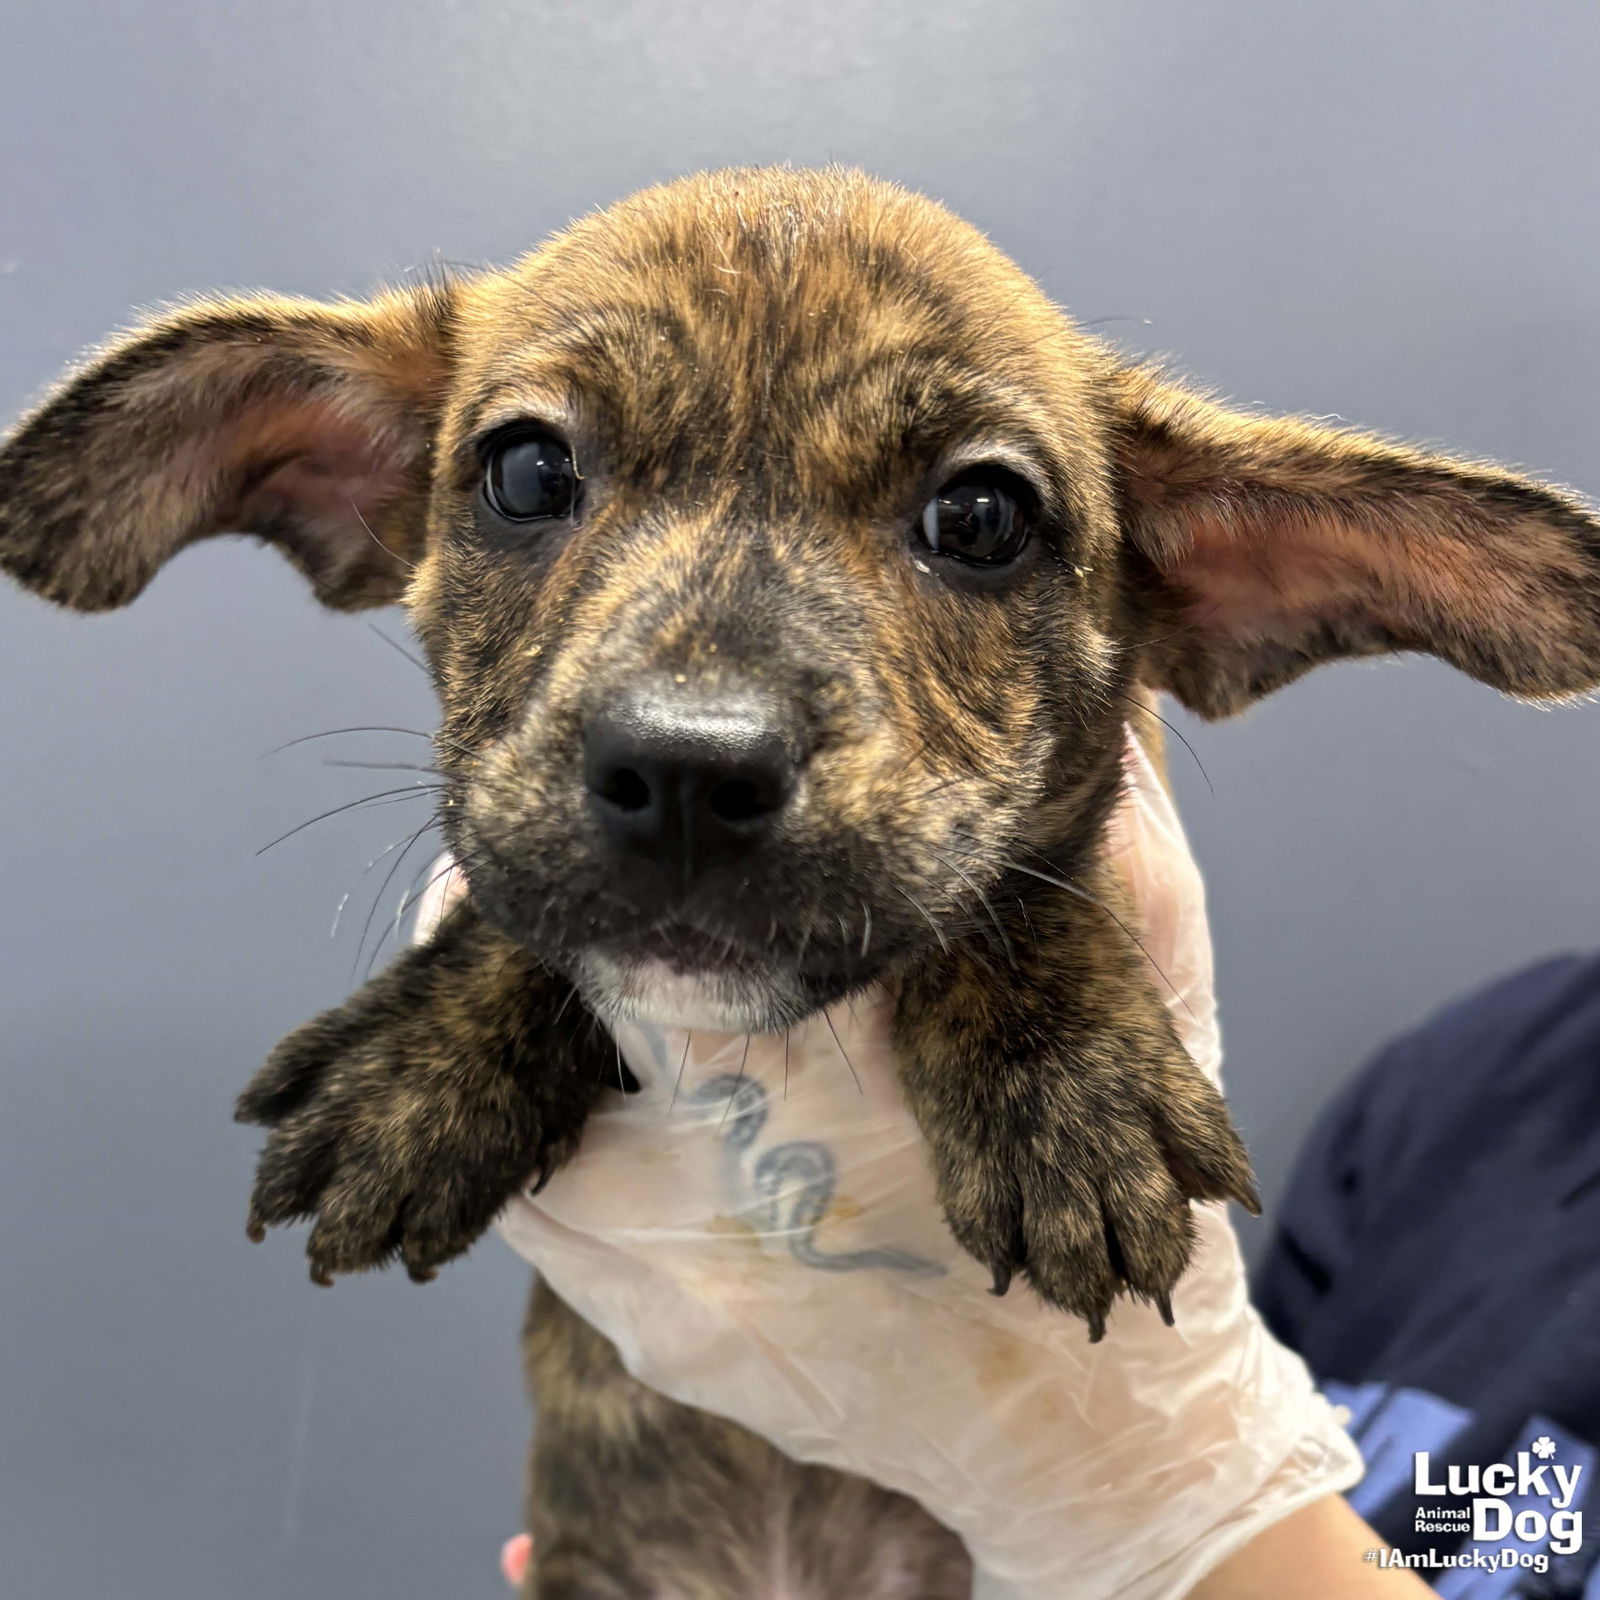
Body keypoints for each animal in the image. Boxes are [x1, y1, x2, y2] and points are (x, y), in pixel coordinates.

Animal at [3, 162, 1600, 1587]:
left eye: (981, 517)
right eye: (526, 470)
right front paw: (422, 1064)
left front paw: (1065, 1085)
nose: (687, 775)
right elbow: (515, 900)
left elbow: (1024, 878)